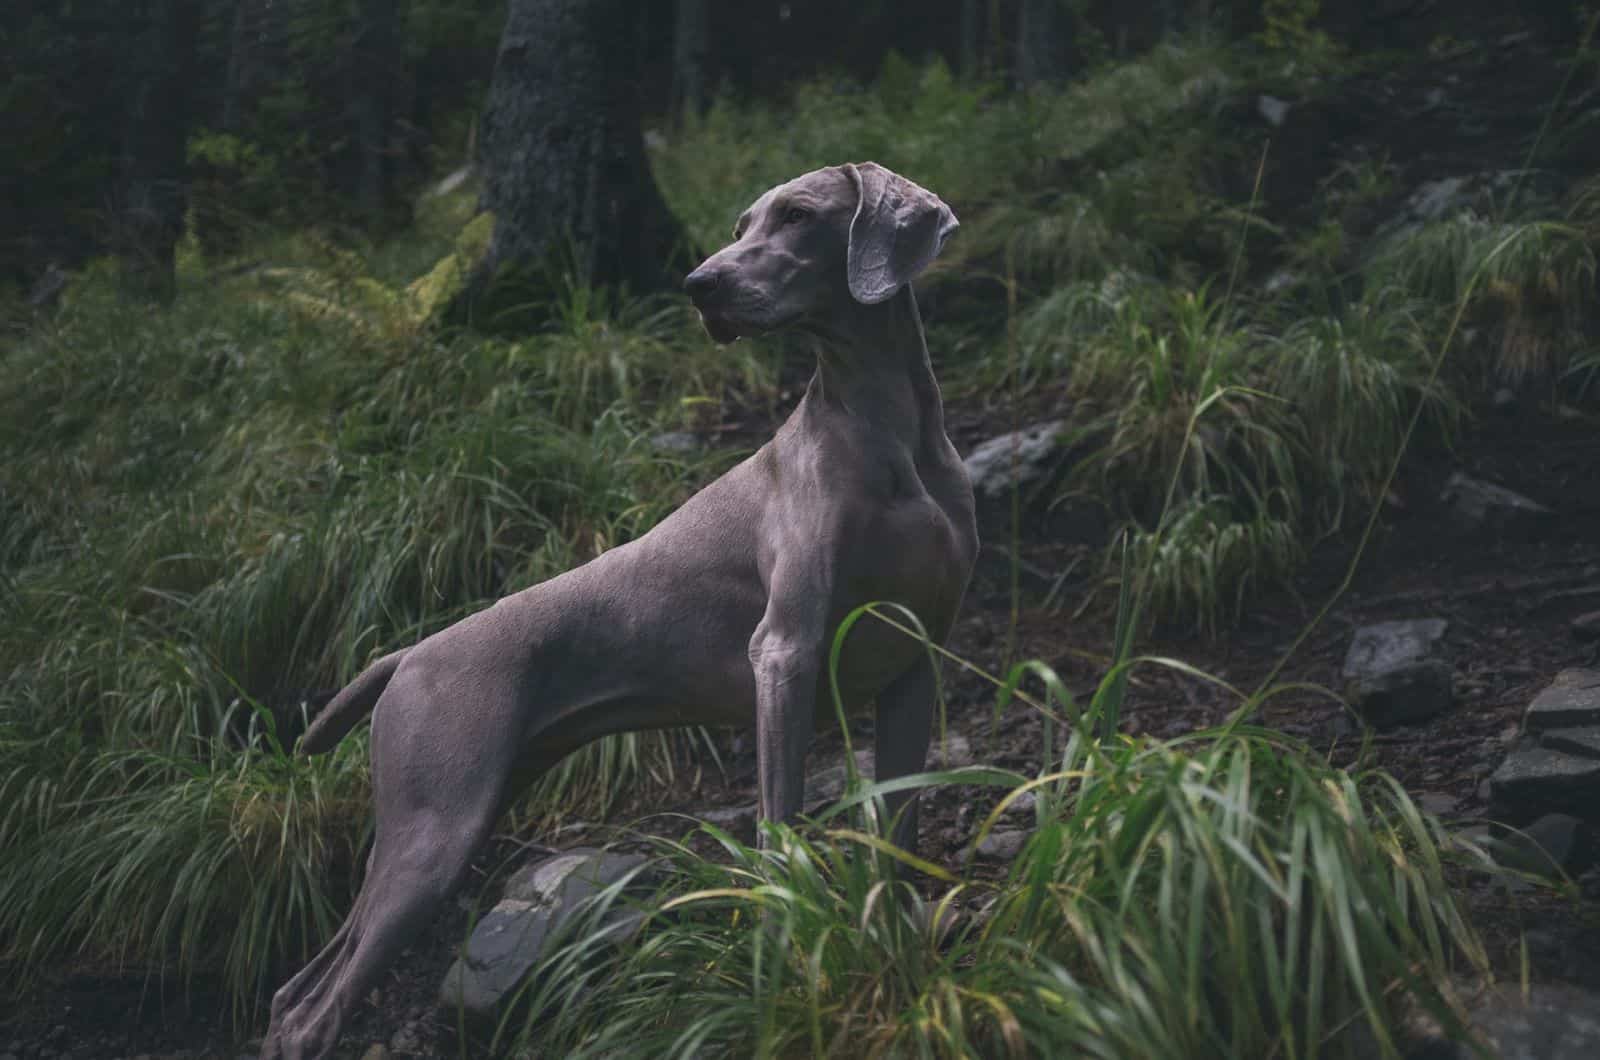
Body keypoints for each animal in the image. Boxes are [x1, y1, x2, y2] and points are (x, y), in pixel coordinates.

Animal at [262, 161, 972, 1056]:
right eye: (740, 225)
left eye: (798, 216)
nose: (698, 284)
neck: (886, 428)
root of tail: (408, 653)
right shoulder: (785, 652)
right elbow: (779, 827)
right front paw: (788, 947)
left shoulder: (916, 662)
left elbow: (900, 835)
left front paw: (898, 951)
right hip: (432, 833)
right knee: (314, 1010)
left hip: (443, 820)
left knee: (294, 990)